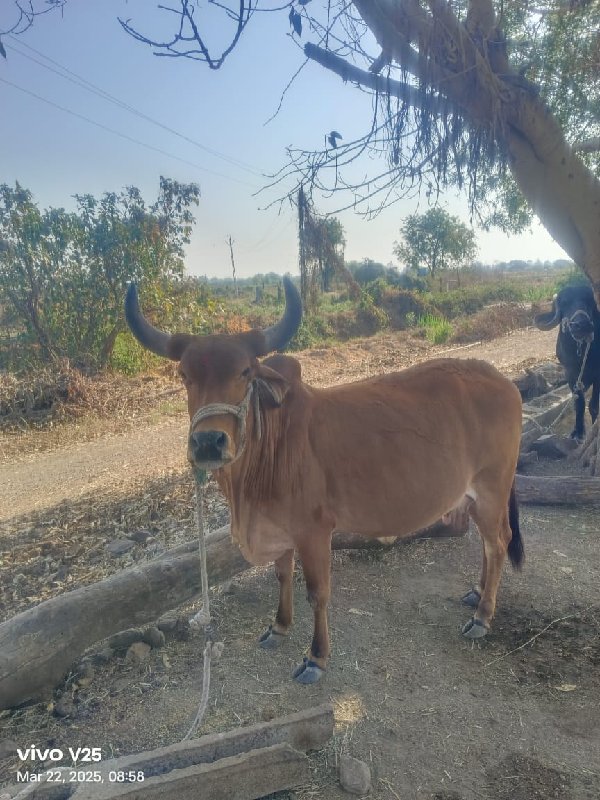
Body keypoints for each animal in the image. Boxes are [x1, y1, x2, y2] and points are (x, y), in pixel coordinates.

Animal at [124, 278, 524, 684]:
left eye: (245, 372)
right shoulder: (279, 530)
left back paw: (482, 616)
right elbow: (282, 576)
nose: (208, 442)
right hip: (473, 497)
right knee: (490, 544)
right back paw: (477, 592)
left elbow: (317, 592)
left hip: (492, 488)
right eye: (184, 376)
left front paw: (316, 657)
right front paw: (279, 626)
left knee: (498, 543)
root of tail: (503, 381)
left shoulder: (314, 531)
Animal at [536, 284, 600, 440]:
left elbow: (593, 406)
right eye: (564, 303)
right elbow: (579, 404)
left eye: (590, 301)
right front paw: (578, 431)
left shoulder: (598, 376)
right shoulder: (571, 376)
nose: (581, 325)